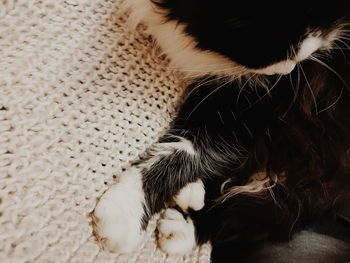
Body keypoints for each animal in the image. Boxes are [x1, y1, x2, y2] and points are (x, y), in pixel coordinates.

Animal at [92, 0, 350, 262]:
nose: (288, 70)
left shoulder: (254, 102)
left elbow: (189, 150)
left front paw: (123, 210)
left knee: (274, 209)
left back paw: (182, 230)